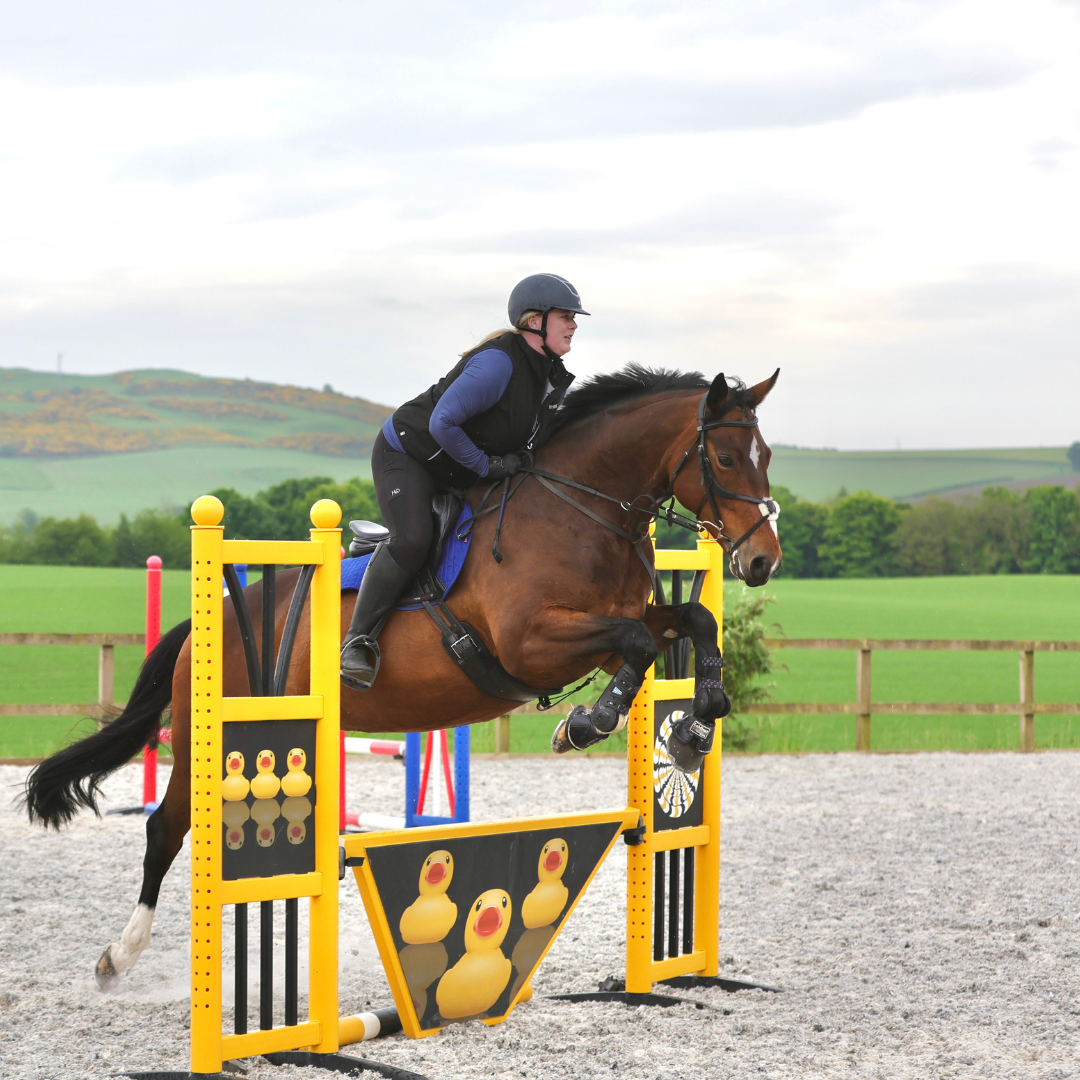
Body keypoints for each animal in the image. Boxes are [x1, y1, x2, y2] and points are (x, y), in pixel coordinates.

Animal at [24, 365, 781, 988]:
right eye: (722, 457)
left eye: (766, 457)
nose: (762, 561)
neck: (578, 510)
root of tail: (204, 630)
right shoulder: (532, 642)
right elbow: (636, 642)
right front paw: (587, 723)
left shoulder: (612, 627)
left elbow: (689, 622)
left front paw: (693, 728)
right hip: (205, 739)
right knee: (165, 830)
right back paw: (117, 958)